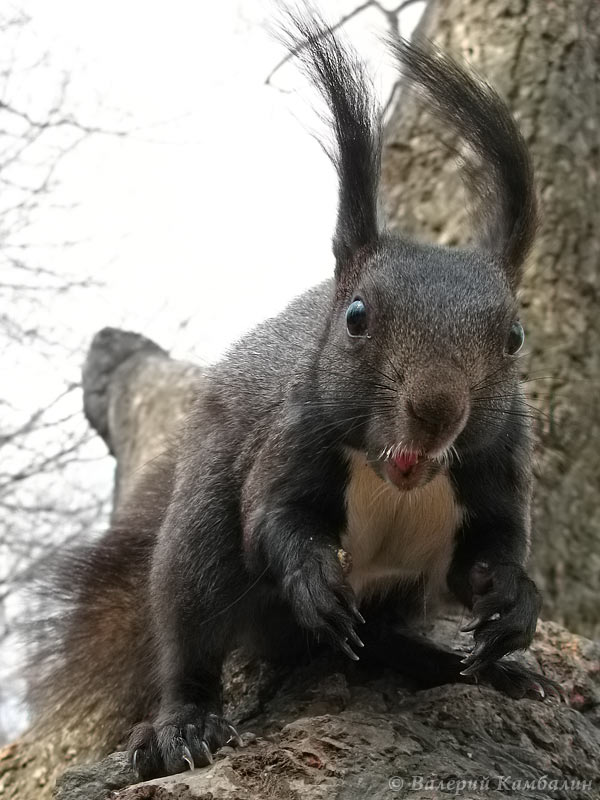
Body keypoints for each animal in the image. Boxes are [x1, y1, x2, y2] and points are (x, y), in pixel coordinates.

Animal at [28, 4, 564, 780]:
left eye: (515, 338)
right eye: (356, 317)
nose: (436, 412)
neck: (392, 476)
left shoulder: (495, 469)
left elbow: (489, 557)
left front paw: (517, 609)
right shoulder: (289, 437)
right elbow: (275, 521)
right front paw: (312, 576)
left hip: (399, 595)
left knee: (381, 644)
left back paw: (470, 668)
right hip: (198, 541)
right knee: (191, 634)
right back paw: (183, 725)